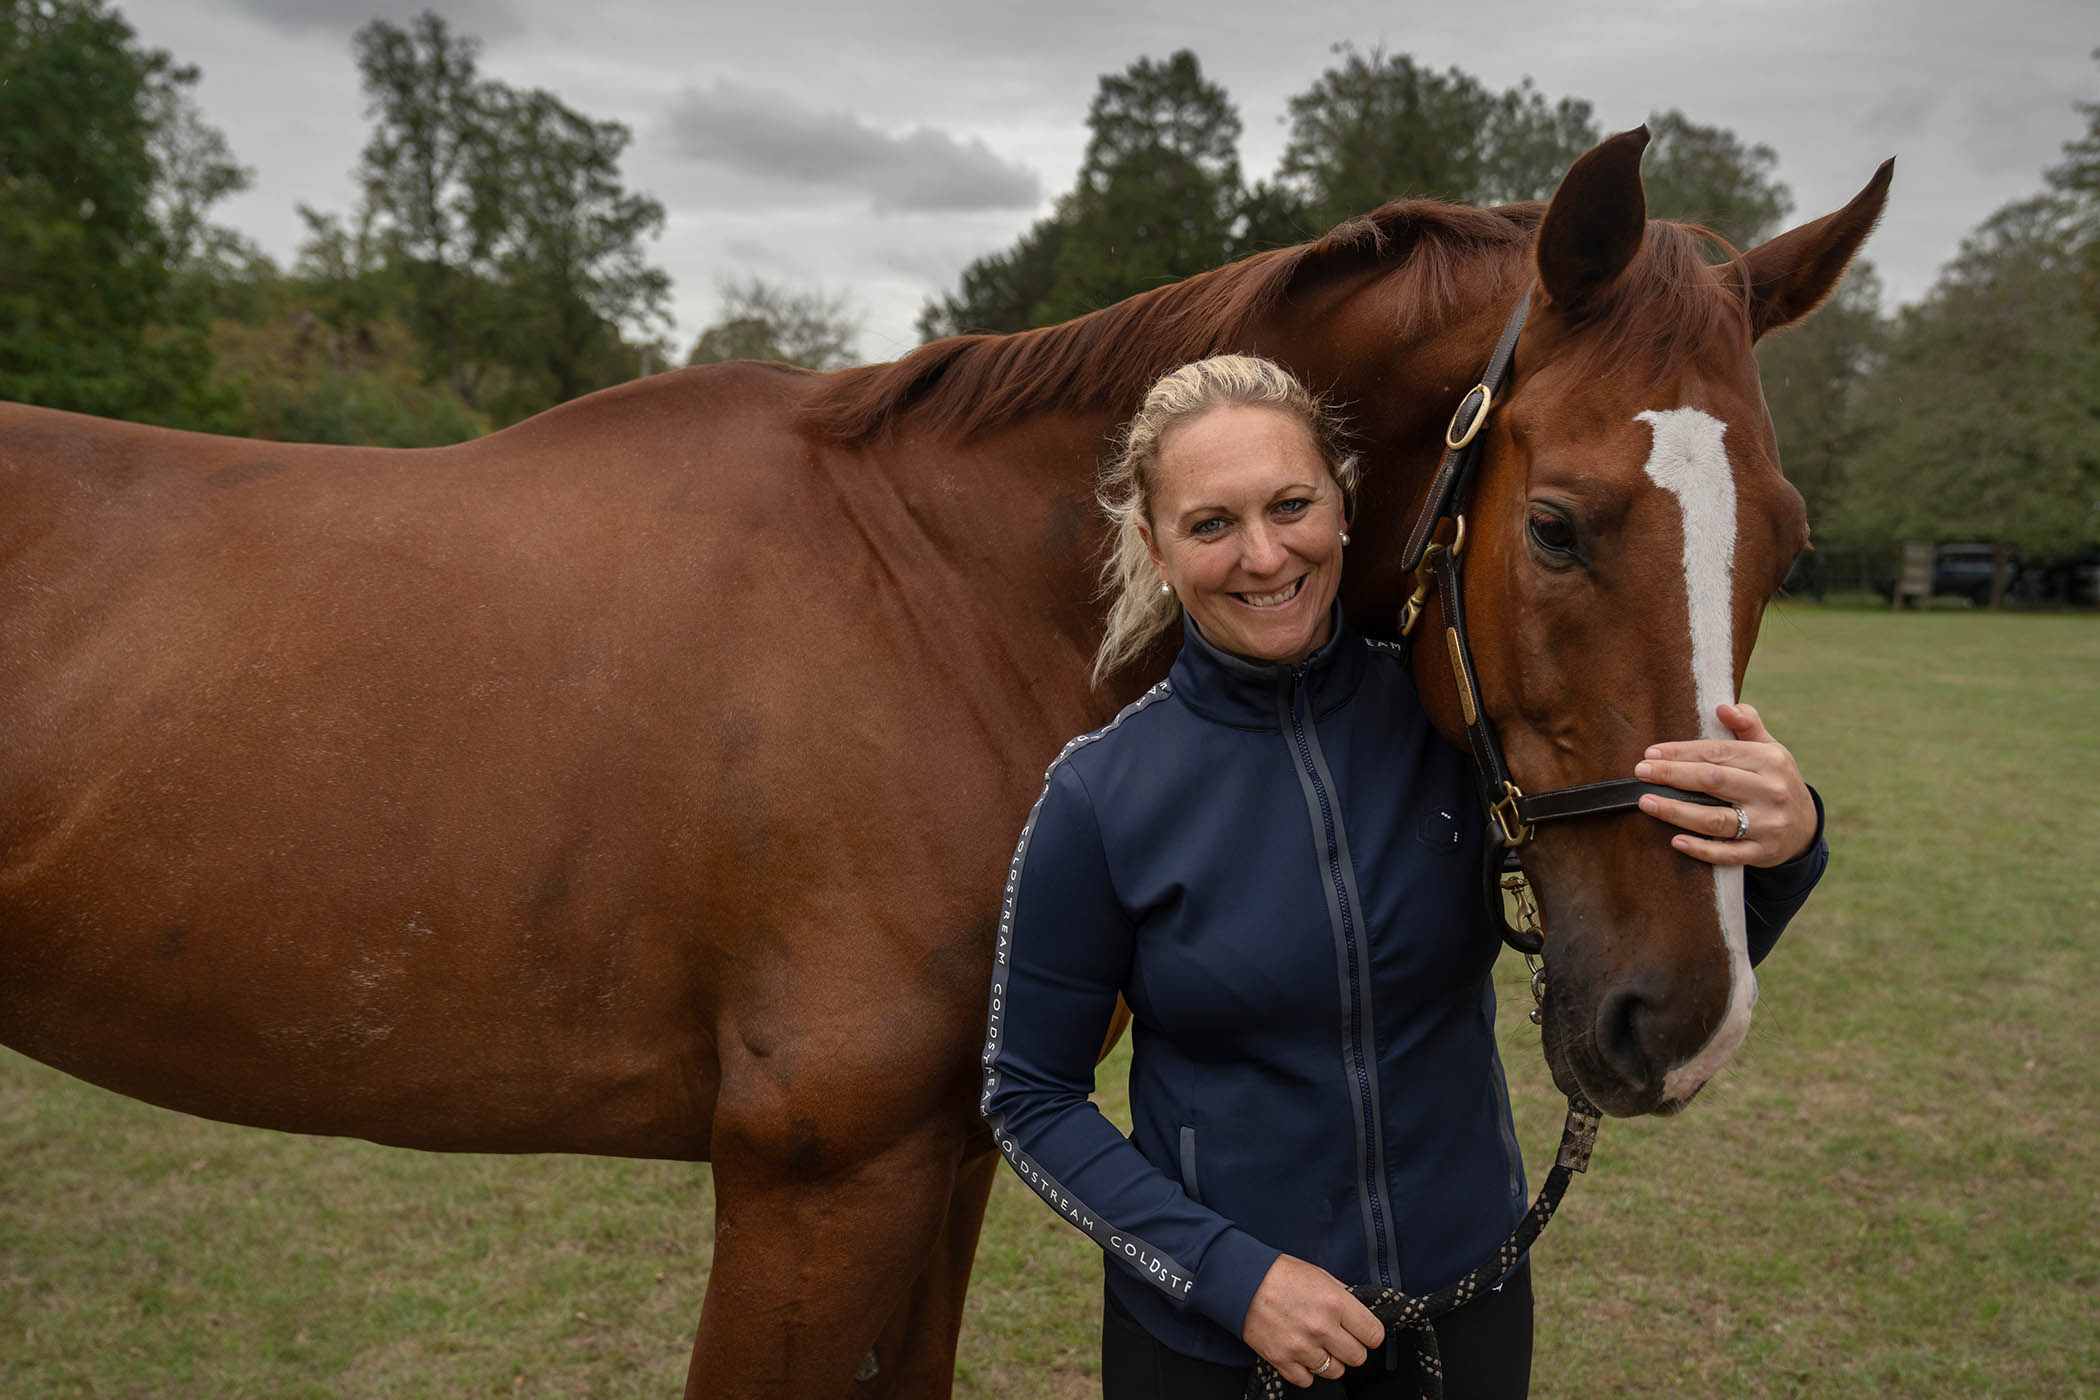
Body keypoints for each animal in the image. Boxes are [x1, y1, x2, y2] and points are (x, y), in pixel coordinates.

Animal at [0, 126, 1887, 1397]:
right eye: (1557, 523)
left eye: (1789, 540)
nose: (1676, 1018)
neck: (933, 599)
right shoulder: (811, 1188)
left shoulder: (947, 1156)